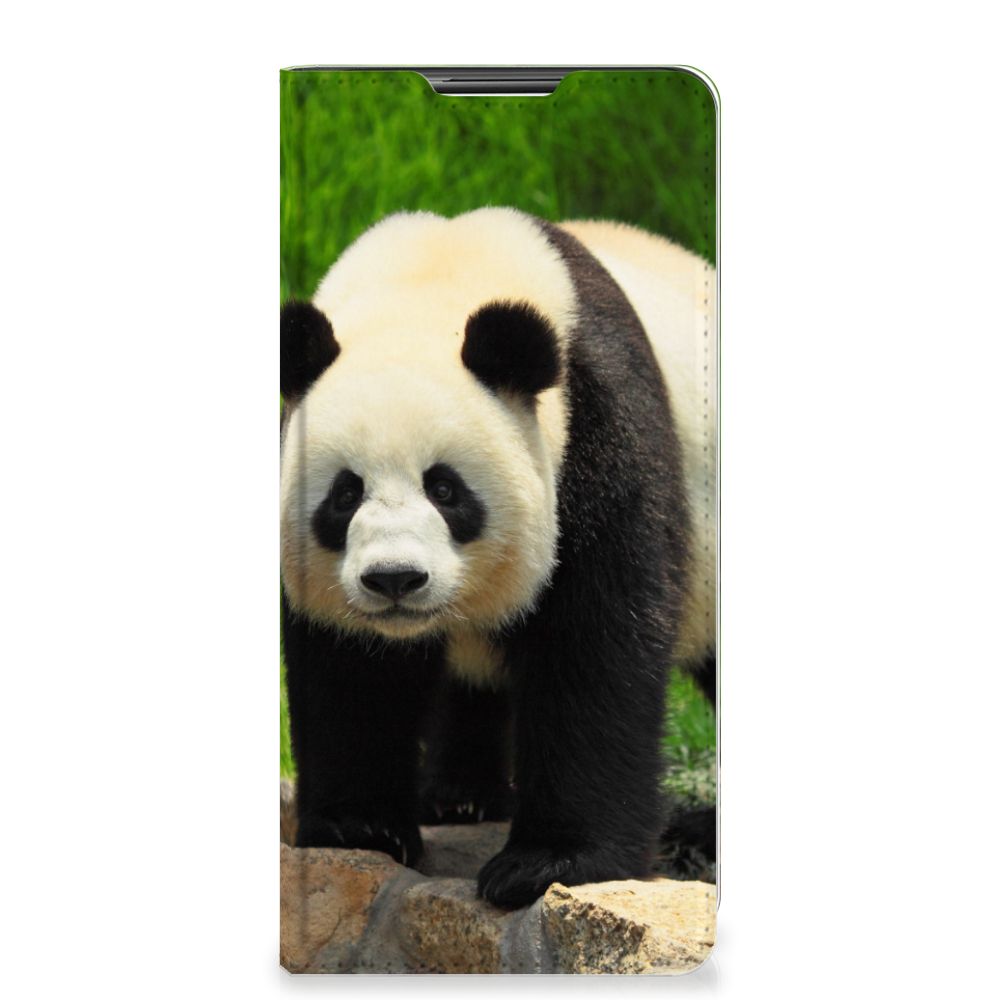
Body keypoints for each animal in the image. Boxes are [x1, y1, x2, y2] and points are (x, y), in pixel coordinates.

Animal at [280, 206, 716, 909]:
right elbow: (350, 668)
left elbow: (594, 644)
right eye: (345, 495)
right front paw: (360, 828)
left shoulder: (598, 430)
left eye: (446, 489)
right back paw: (460, 796)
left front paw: (549, 863)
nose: (395, 579)